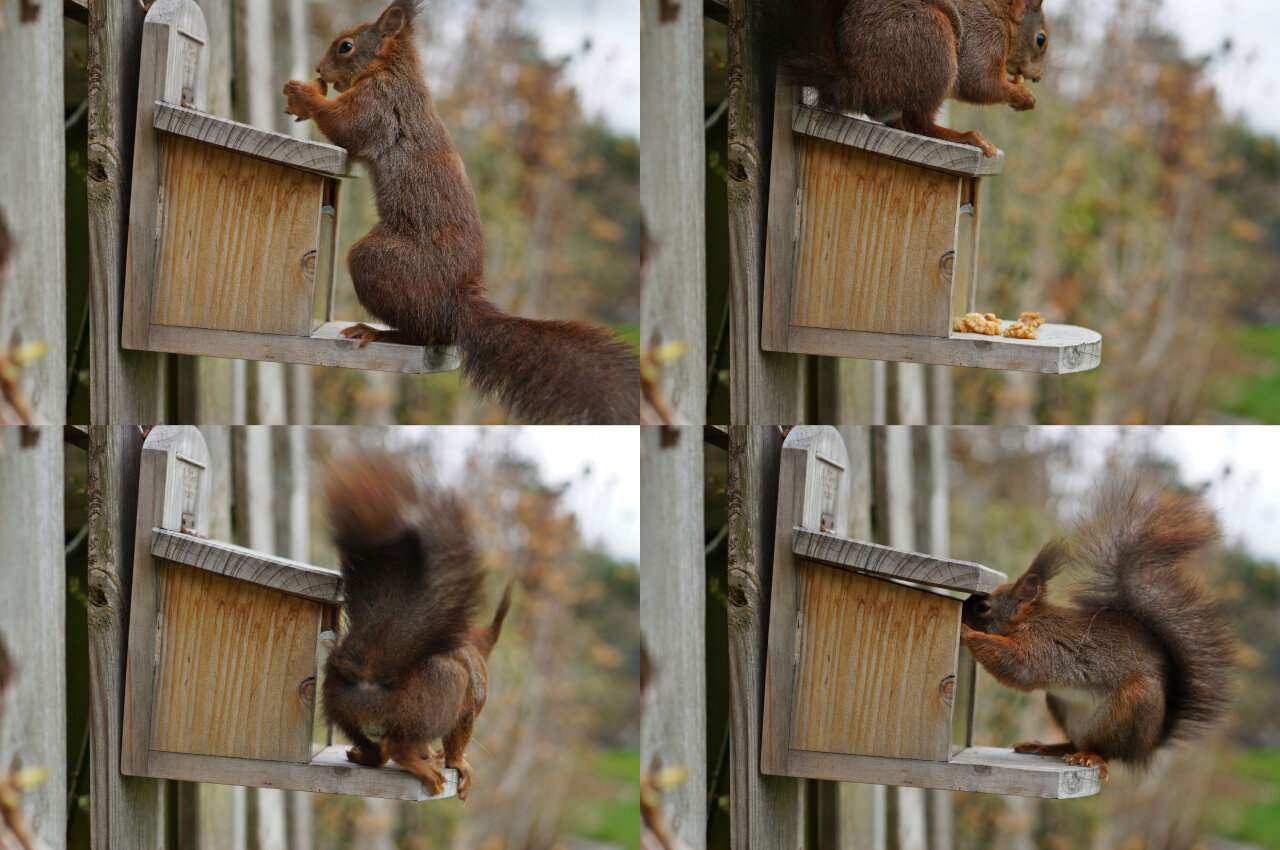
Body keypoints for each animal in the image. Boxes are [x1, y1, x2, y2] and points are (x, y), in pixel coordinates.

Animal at [282, 0, 637, 425]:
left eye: (346, 47)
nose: (320, 70)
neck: (392, 70)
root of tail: (458, 302)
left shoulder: (379, 105)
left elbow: (345, 127)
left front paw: (303, 94)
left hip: (378, 262)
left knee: (420, 333)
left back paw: (379, 332)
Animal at [318, 448, 509, 798]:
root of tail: (371, 677)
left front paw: (432, 755)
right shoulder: (470, 705)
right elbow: (460, 736)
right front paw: (457, 763)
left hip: (340, 706)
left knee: (379, 751)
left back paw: (365, 757)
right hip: (440, 693)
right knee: (396, 746)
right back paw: (417, 763)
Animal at [752, 0, 1044, 156]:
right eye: (1041, 39)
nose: (1038, 78)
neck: (1006, 16)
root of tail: (851, 80)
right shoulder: (988, 37)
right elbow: (978, 82)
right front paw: (1023, 96)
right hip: (932, 37)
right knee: (918, 124)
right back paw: (965, 137)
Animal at [962, 478, 1233, 778]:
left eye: (983, 607)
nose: (962, 609)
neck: (1029, 619)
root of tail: (1146, 746)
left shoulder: (1044, 644)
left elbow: (1017, 664)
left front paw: (966, 632)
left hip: (1131, 704)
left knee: (1105, 750)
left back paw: (1089, 756)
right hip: (1061, 705)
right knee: (1074, 742)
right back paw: (1045, 746)